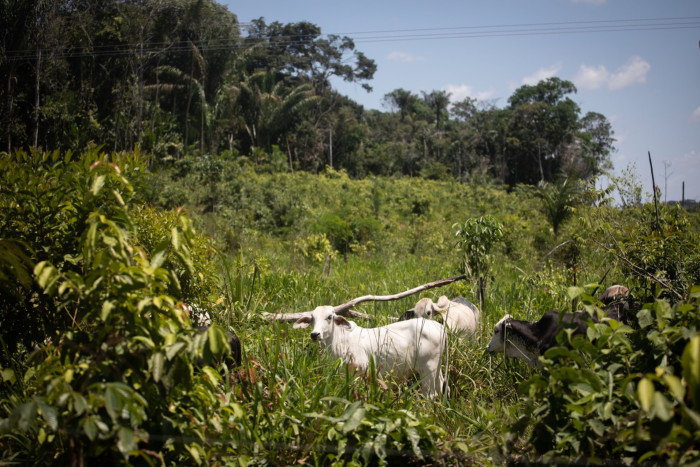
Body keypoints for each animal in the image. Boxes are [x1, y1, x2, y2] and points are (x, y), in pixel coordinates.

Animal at [292, 308, 446, 398]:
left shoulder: (359, 370)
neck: (340, 339)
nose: (315, 334)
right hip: (436, 368)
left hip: (428, 370)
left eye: (329, 317)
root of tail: (439, 326)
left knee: (430, 394)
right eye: (312, 318)